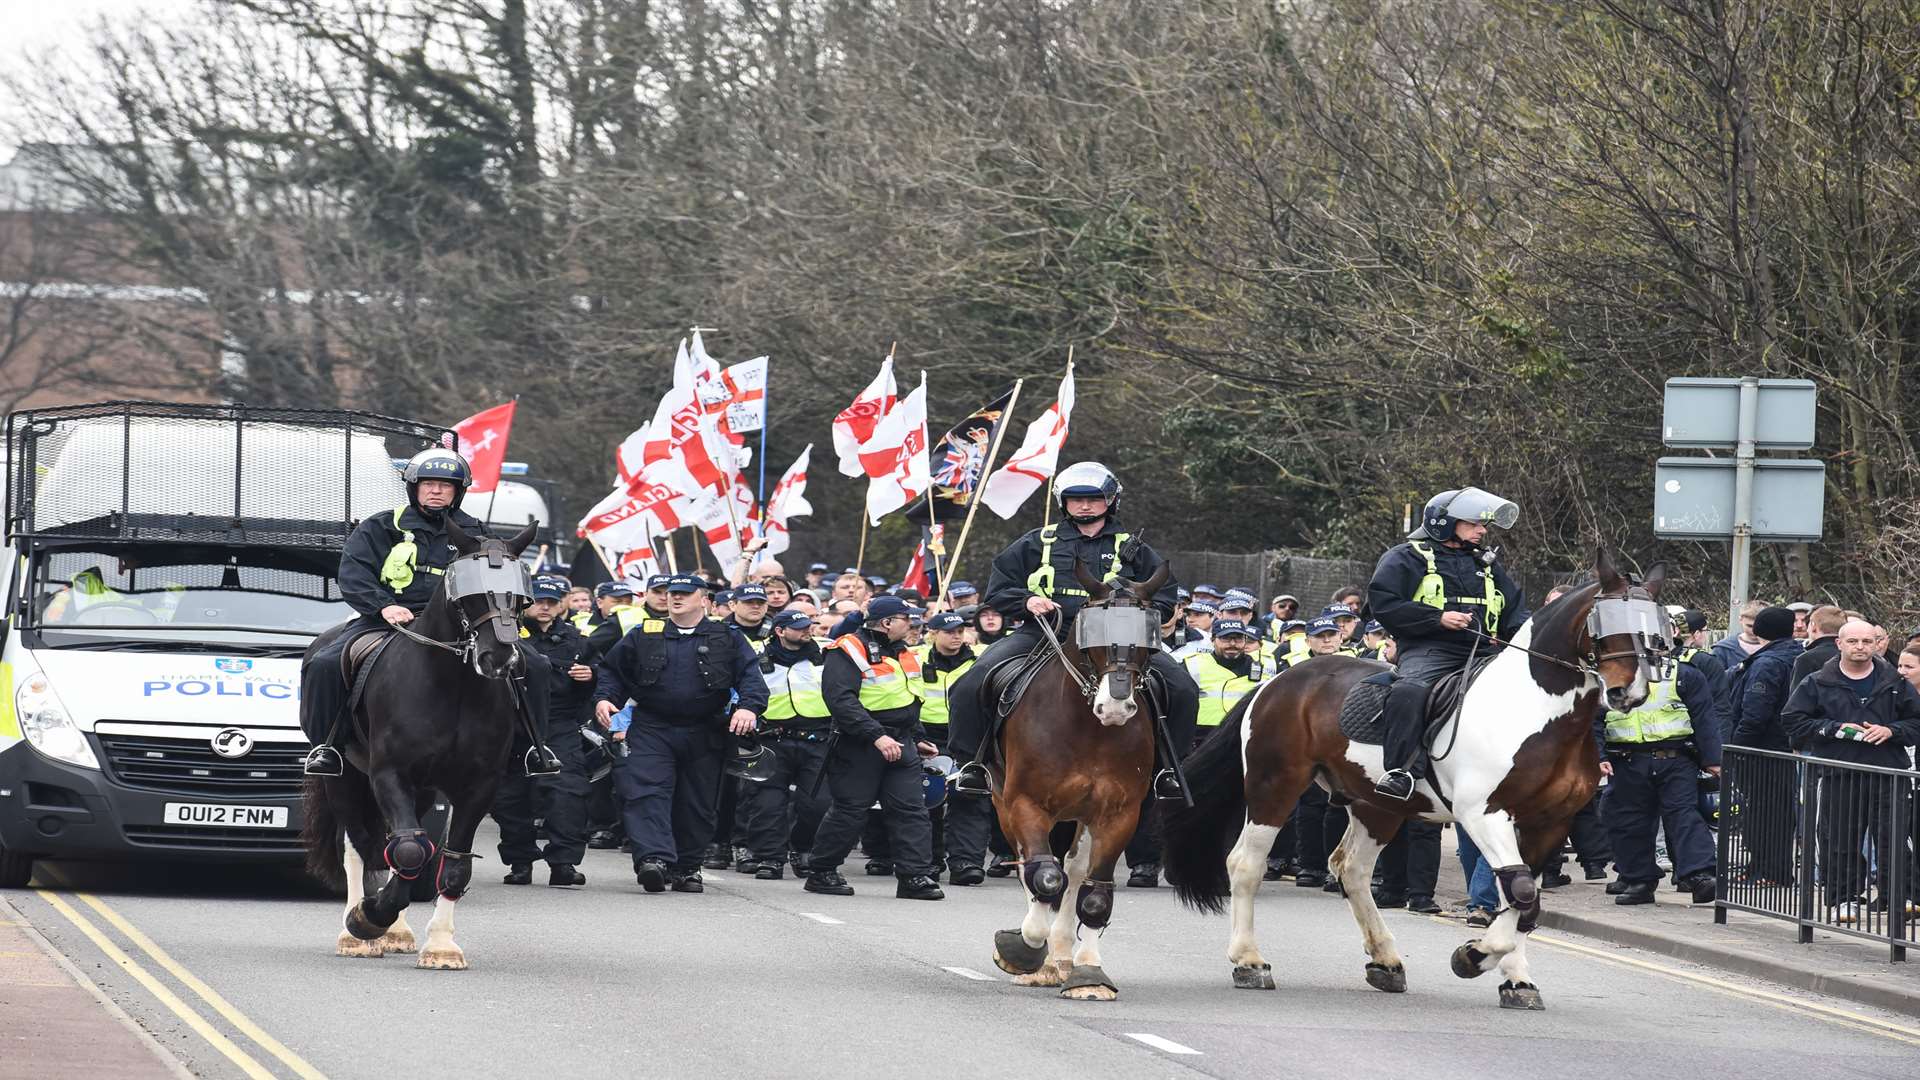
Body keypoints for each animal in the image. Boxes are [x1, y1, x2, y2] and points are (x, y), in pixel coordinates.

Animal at [303, 518, 537, 960]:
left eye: (519, 595)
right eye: (470, 594)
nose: (500, 657)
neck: (454, 686)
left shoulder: (478, 786)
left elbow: (449, 862)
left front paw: (441, 944)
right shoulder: (389, 775)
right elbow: (408, 849)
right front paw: (368, 917)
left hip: (424, 790)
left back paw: (396, 930)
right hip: (344, 777)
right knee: (359, 846)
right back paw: (356, 930)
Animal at [990, 557, 1167, 999]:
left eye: (1147, 635)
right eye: (1095, 632)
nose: (1116, 707)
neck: (1089, 730)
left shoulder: (1118, 815)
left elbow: (1093, 894)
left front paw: (1090, 972)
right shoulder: (1026, 804)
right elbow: (1043, 876)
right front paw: (1022, 950)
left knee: (1073, 872)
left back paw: (1064, 957)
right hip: (1005, 804)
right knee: (1034, 867)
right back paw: (1042, 960)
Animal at [1152, 549, 1666, 1006]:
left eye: (1657, 629)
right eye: (1606, 621)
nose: (1630, 692)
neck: (1535, 710)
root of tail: (1275, 682)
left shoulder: (1548, 822)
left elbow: (1523, 901)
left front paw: (1515, 979)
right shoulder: (1482, 815)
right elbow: (1521, 894)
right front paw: (1473, 956)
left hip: (1376, 805)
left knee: (1352, 870)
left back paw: (1385, 961)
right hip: (1274, 785)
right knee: (1246, 864)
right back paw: (1249, 961)